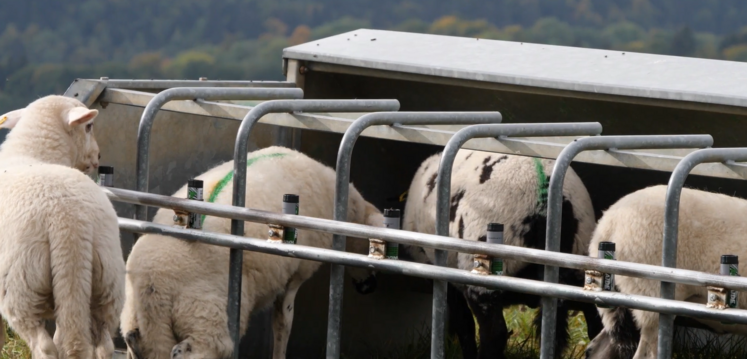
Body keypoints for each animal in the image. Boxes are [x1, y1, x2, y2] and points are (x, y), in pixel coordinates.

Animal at [0, 95, 124, 359]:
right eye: (89, 126)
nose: (98, 156)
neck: (32, 153)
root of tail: (68, 220)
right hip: (107, 281)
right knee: (103, 342)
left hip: (20, 286)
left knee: (44, 345)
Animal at [400, 149, 604, 359]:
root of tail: (544, 203)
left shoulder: (446, 279)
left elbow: (464, 325)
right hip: (582, 271)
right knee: (595, 327)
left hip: (484, 275)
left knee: (494, 333)